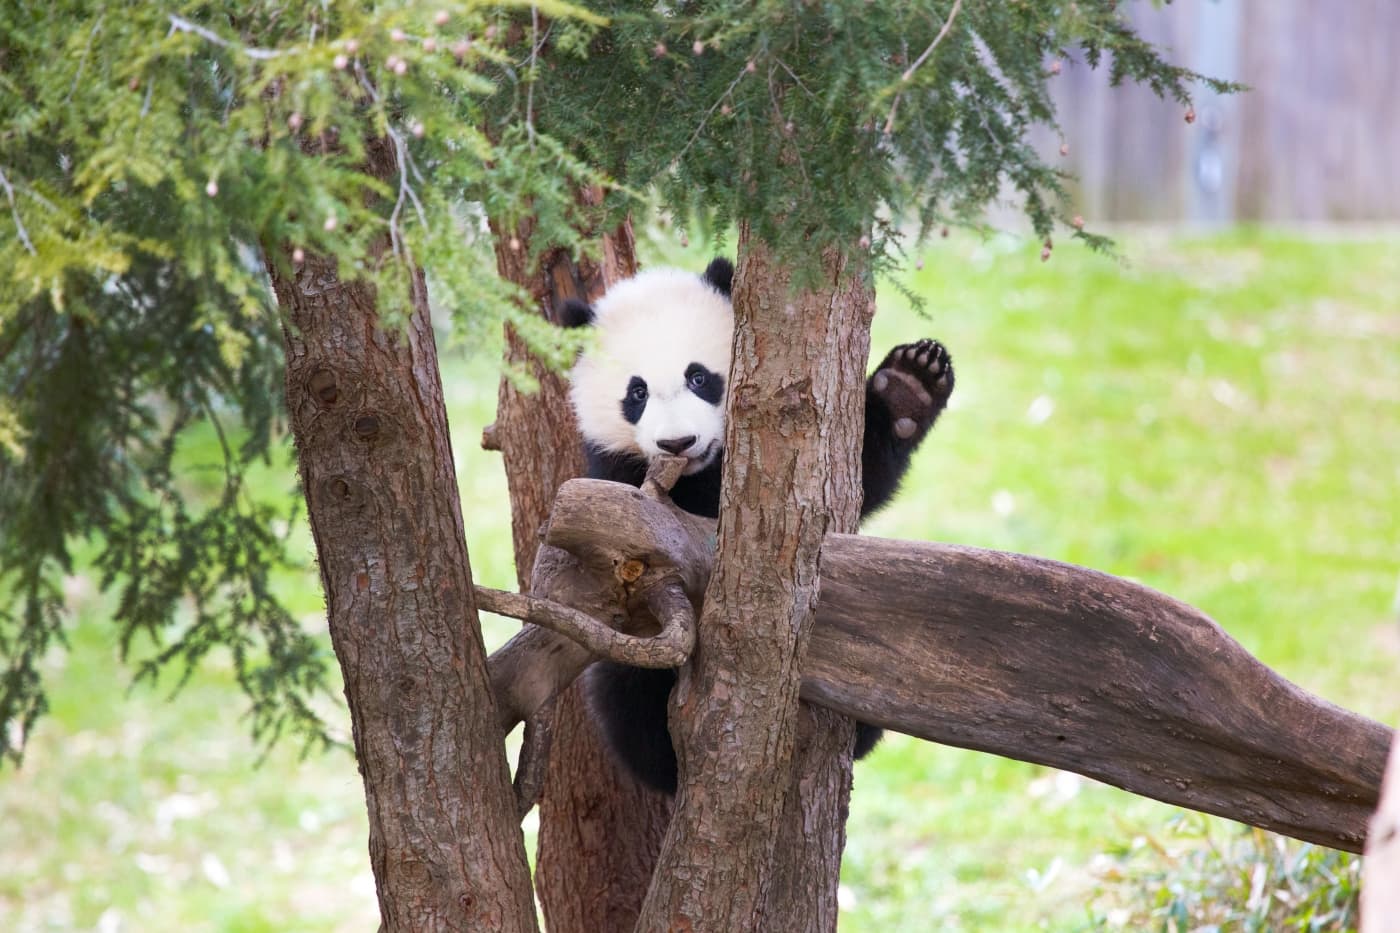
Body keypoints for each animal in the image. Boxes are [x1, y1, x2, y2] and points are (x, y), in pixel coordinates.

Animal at [561, 257, 953, 794]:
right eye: (636, 393)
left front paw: (909, 385)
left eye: (700, 378)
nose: (678, 443)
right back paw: (666, 758)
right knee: (627, 691)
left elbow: (856, 483)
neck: (700, 470)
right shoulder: (617, 476)